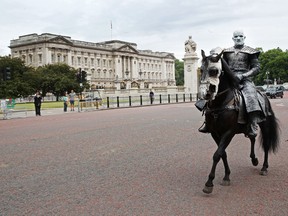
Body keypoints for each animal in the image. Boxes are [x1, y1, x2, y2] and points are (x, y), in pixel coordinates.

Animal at [198, 49, 280, 194]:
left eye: (214, 71)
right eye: (201, 69)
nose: (205, 93)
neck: (221, 103)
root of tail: (263, 94)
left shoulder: (228, 132)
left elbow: (217, 154)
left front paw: (209, 183)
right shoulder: (215, 133)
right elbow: (223, 153)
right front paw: (226, 176)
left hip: (264, 125)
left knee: (266, 143)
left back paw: (264, 167)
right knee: (252, 137)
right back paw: (254, 159)